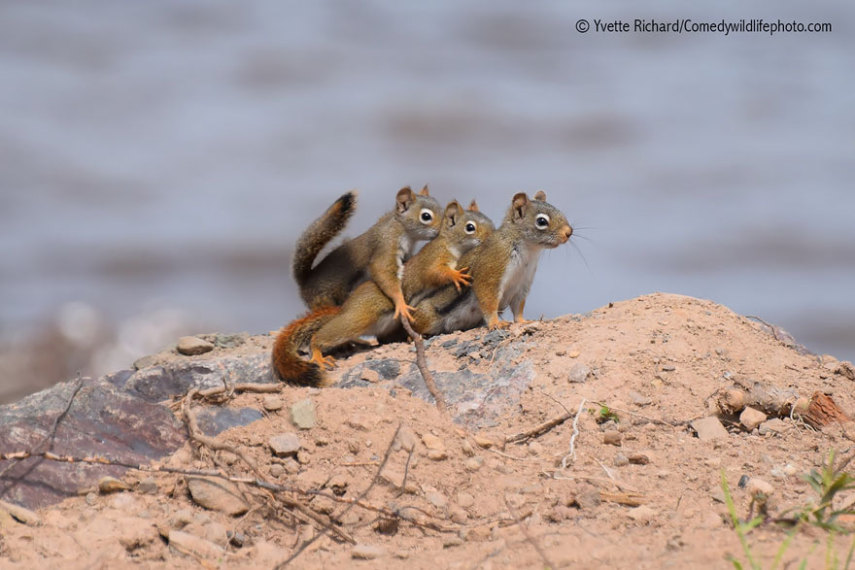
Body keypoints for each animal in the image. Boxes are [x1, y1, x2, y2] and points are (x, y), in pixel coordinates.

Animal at [270, 201, 492, 386]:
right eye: (470, 227)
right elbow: (435, 273)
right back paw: (317, 352)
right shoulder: (433, 258)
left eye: (490, 221)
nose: (491, 237)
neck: (452, 245)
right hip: (358, 317)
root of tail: (346, 307)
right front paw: (455, 275)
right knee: (325, 334)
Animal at [292, 186, 444, 320]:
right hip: (324, 299)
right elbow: (382, 271)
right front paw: (401, 303)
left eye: (442, 210)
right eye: (426, 216)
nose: (441, 230)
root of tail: (305, 283)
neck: (402, 229)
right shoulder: (386, 245)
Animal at [412, 191, 572, 332]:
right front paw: (496, 323)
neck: (528, 251)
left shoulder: (522, 284)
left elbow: (518, 307)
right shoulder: (493, 267)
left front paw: (523, 321)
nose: (569, 232)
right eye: (542, 221)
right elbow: (488, 300)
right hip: (427, 316)